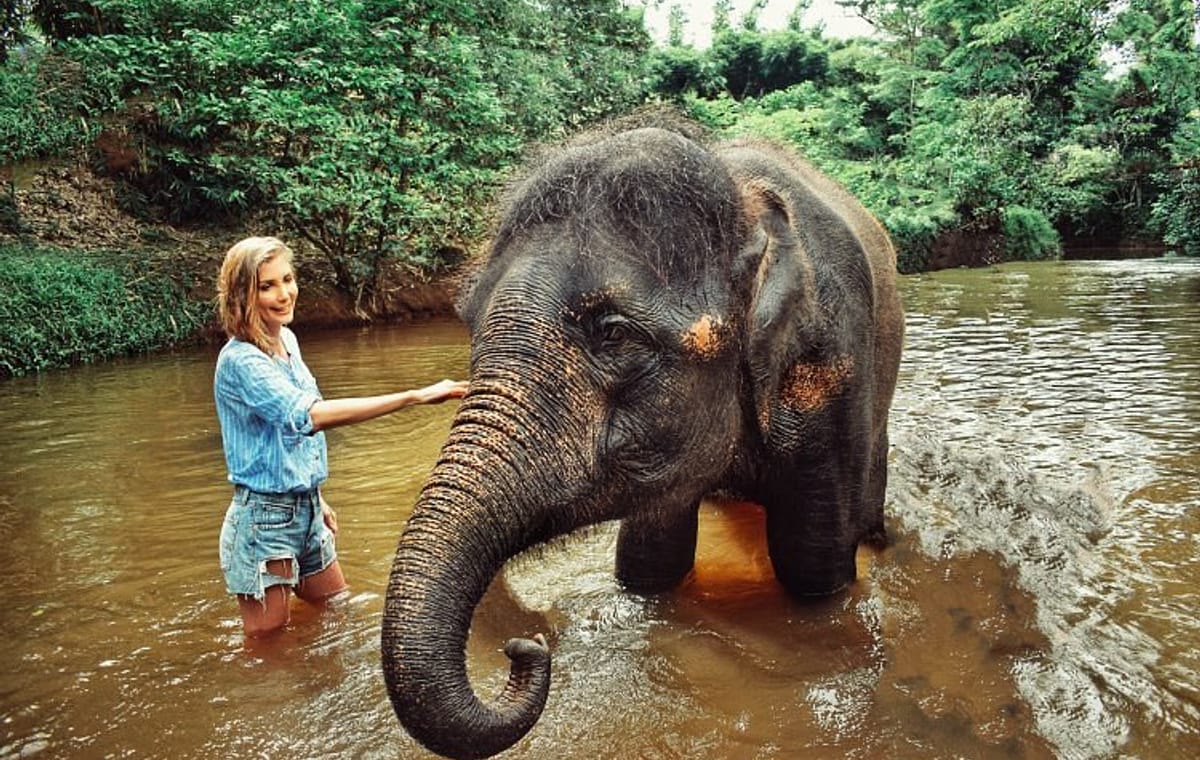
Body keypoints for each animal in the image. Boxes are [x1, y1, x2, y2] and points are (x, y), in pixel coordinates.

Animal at [381, 119, 904, 760]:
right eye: (467, 321)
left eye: (613, 333)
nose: (525, 648)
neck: (742, 202)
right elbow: (648, 561)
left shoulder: (833, 374)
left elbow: (812, 567)